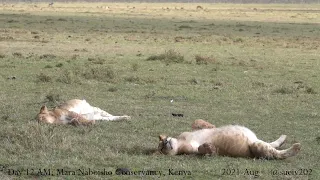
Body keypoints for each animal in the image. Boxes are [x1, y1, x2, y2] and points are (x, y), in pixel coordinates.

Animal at [159, 120, 302, 160]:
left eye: (161, 143)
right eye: (161, 149)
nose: (165, 142)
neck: (180, 142)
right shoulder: (190, 149)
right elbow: (201, 149)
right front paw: (208, 148)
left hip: (257, 141)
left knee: (272, 144)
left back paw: (283, 138)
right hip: (255, 145)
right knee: (276, 153)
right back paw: (296, 147)